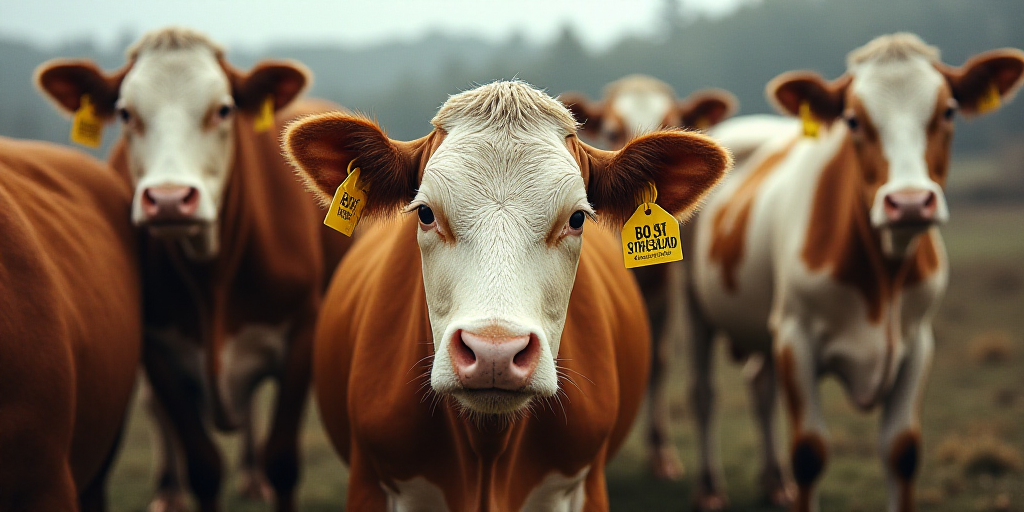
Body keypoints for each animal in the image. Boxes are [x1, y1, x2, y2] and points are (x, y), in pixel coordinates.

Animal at [35, 27, 350, 512]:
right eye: (125, 113)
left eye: (224, 109)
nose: (168, 199)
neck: (213, 275)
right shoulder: (157, 347)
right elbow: (202, 465)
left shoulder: (303, 331)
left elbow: (282, 461)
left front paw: (265, 473)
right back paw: (168, 490)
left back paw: (251, 476)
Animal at [687, 33, 1024, 512]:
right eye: (852, 119)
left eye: (948, 110)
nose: (909, 202)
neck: (883, 277)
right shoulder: (795, 335)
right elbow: (809, 452)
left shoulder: (918, 341)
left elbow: (902, 451)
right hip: (693, 302)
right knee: (703, 393)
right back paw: (710, 487)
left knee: (760, 386)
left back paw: (774, 481)